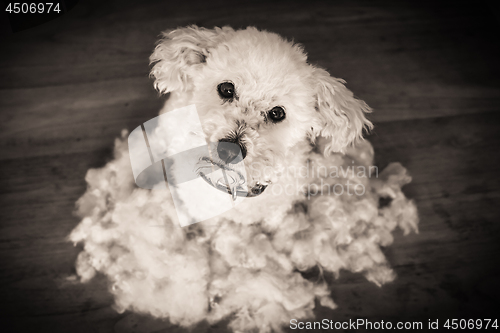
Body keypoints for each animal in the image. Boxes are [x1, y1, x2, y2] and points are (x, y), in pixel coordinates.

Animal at [68, 26, 416, 332]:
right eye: (226, 89)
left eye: (277, 113)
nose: (230, 149)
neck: (235, 183)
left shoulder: (278, 205)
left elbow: (273, 222)